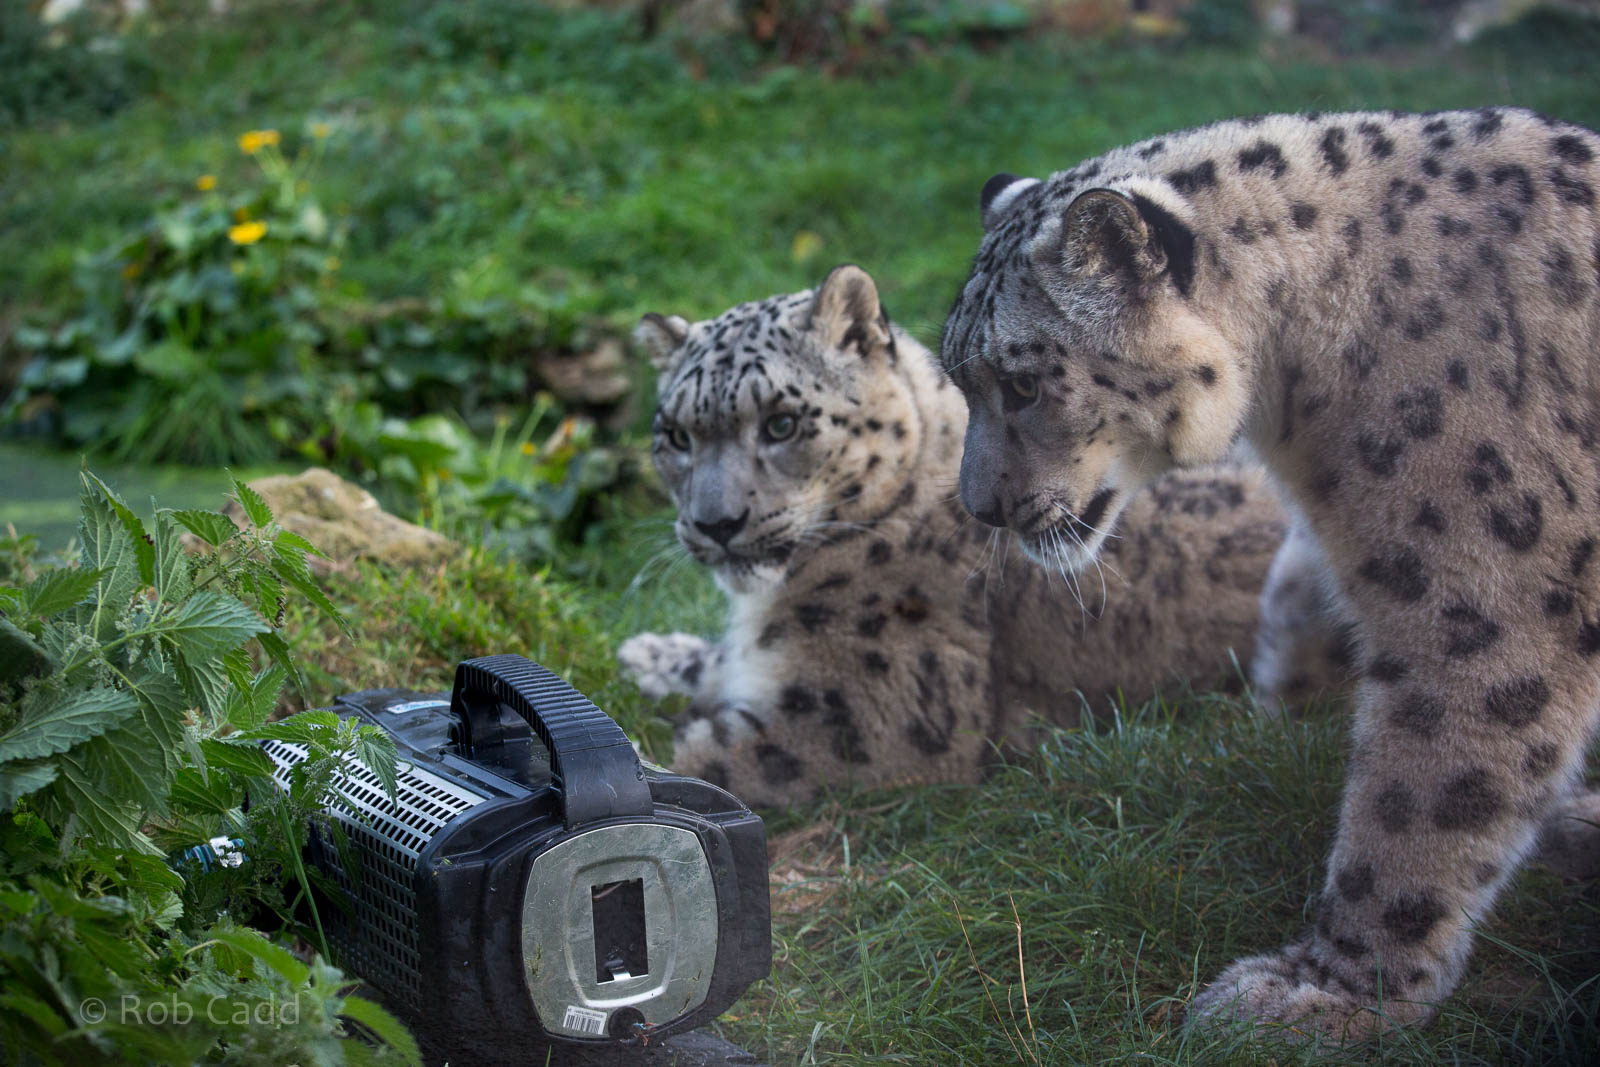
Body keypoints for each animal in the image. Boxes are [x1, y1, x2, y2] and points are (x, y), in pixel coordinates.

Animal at [618, 263, 1346, 809]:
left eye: (782, 422)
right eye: (675, 435)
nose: (715, 523)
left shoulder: (864, 723)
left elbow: (703, 764)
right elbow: (718, 665)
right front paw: (651, 655)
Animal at [940, 106, 1600, 1039]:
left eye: (1024, 383)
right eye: (960, 377)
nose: (980, 506)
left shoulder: (1482, 603)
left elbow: (1419, 797)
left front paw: (1332, 990)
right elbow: (1296, 598)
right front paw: (1283, 704)